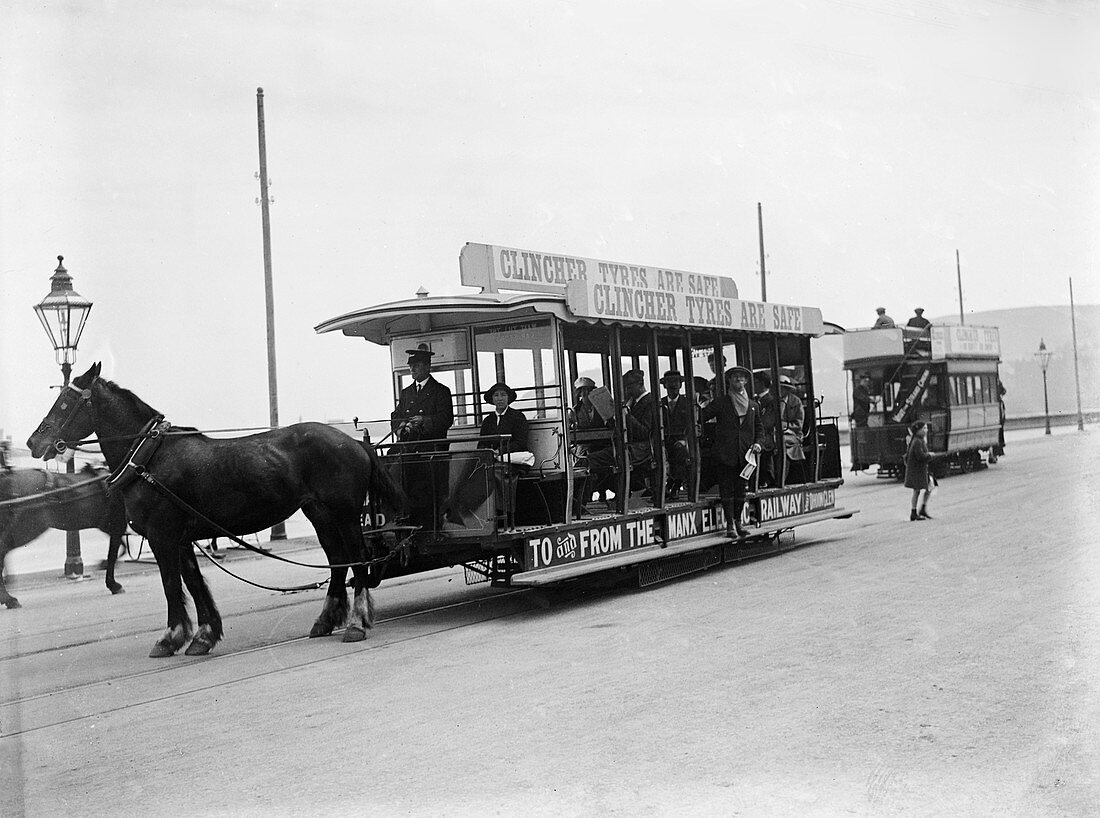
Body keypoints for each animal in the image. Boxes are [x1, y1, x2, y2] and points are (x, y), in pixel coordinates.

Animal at [0, 463, 127, 611]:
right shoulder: (117, 525)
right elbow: (114, 554)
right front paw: (113, 584)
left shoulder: (110, 527)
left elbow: (121, 548)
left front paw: (104, 566)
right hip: (25, 530)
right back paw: (9, 599)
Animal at [30, 365, 409, 659]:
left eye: (65, 402)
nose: (35, 442)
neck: (150, 458)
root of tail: (354, 441)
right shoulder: (180, 539)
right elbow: (194, 584)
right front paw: (203, 635)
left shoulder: (162, 536)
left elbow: (171, 584)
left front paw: (171, 637)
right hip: (321, 515)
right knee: (337, 561)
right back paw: (326, 620)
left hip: (344, 515)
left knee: (357, 559)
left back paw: (357, 623)